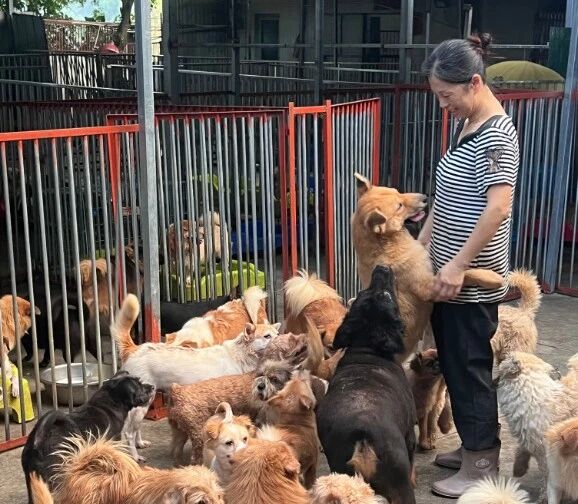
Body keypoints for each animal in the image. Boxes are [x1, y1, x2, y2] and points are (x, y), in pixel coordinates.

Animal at [113, 294, 278, 461]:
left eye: (276, 334)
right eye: (267, 336)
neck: (239, 354)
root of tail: (134, 349)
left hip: (146, 400)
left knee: (136, 428)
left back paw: (140, 443)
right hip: (141, 406)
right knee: (128, 432)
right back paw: (135, 456)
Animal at [316, 265, 417, 504]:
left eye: (361, 293)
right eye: (387, 295)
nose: (382, 267)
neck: (367, 347)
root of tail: (362, 435)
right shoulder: (410, 434)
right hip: (400, 483)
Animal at [351, 173, 504, 360]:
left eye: (397, 191)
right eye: (399, 206)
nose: (425, 197)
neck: (384, 245)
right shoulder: (429, 288)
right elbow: (467, 274)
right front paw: (492, 278)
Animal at [496, 352, 578, 501]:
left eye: (505, 359)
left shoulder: (547, 454)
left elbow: (548, 479)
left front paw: (544, 497)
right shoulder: (531, 439)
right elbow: (523, 449)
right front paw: (519, 467)